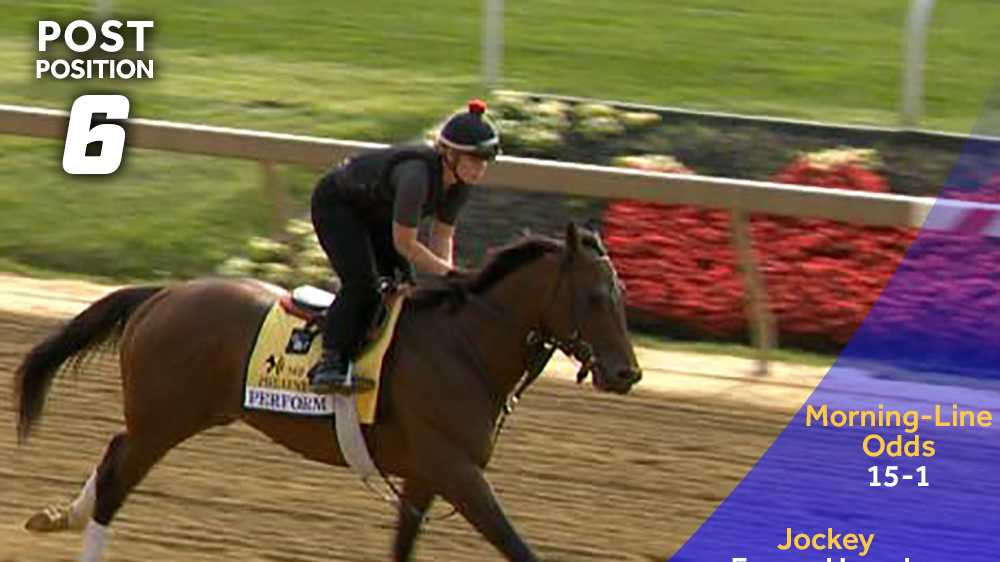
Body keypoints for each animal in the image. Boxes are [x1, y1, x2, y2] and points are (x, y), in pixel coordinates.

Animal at [13, 223, 640, 560]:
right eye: (593, 298)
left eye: (621, 294)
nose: (626, 373)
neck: (464, 346)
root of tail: (163, 295)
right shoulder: (457, 470)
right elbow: (514, 545)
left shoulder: (425, 475)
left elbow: (403, 545)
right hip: (164, 420)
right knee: (118, 479)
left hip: (170, 417)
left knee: (112, 456)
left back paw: (57, 517)